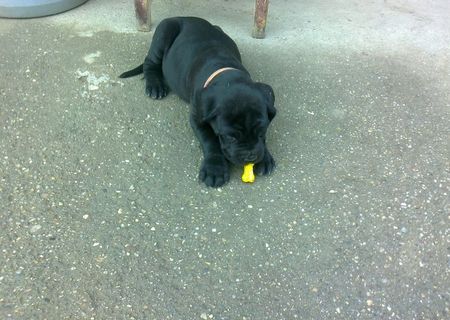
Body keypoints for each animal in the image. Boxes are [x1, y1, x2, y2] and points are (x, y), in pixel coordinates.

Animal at [119, 16, 276, 188]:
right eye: (231, 137)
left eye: (262, 131)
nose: (250, 156)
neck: (225, 72)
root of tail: (185, 17)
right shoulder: (197, 118)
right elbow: (210, 141)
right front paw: (215, 169)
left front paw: (265, 157)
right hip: (164, 31)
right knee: (150, 62)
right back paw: (155, 85)